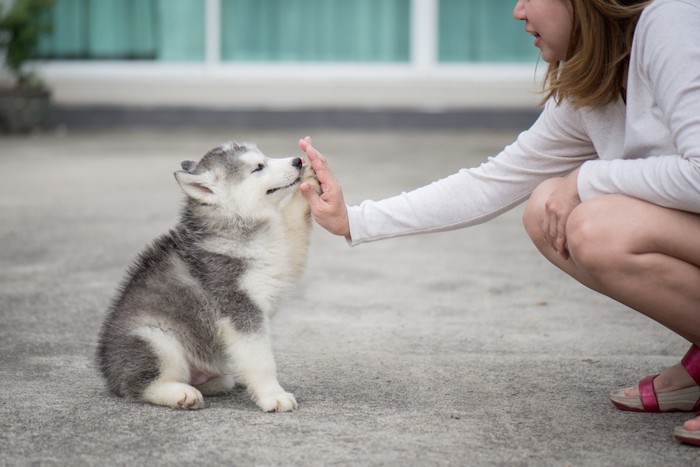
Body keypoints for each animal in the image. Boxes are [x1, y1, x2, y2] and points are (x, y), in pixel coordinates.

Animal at [96, 141, 320, 412]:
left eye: (264, 156)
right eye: (258, 167)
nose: (297, 161)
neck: (237, 224)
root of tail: (109, 373)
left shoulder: (282, 258)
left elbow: (294, 228)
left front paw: (311, 179)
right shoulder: (238, 307)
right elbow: (260, 359)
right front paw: (273, 395)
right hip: (154, 338)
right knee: (142, 385)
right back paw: (180, 394)